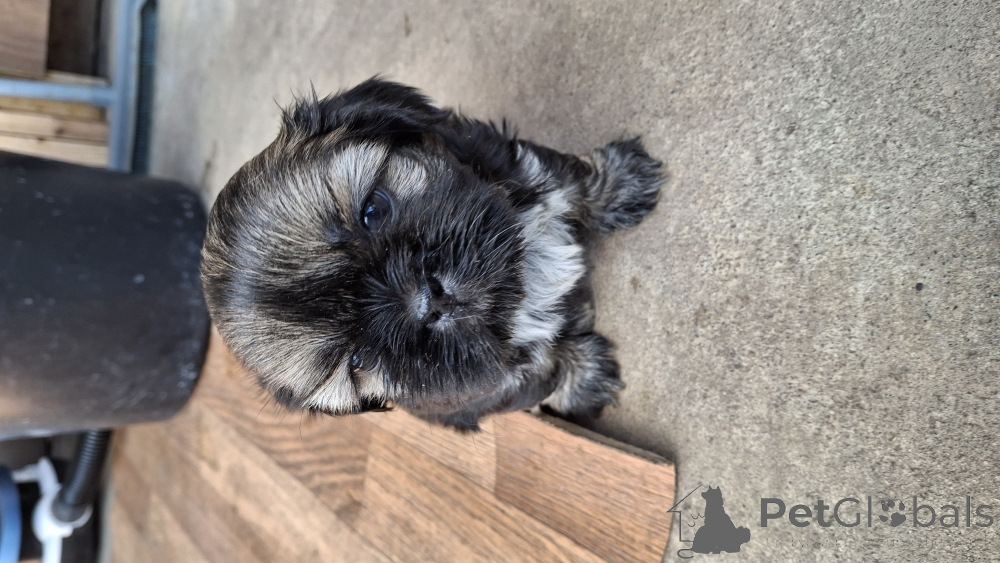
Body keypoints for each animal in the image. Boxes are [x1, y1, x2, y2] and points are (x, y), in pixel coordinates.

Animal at [201, 78, 663, 430]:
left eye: (373, 211)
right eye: (360, 359)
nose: (427, 301)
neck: (519, 288)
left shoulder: (519, 164)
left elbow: (572, 181)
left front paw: (620, 183)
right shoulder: (492, 387)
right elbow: (549, 371)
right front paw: (588, 378)